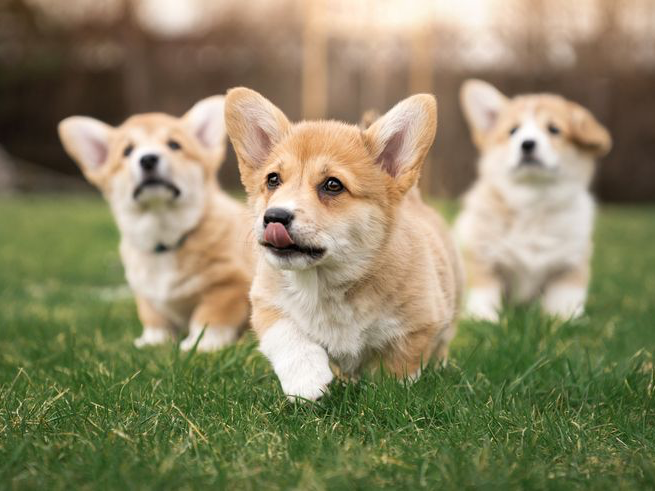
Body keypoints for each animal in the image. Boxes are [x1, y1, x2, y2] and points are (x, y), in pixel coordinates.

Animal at [57, 97, 252, 350]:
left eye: (174, 145)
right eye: (127, 151)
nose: (148, 159)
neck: (164, 235)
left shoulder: (227, 286)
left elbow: (209, 317)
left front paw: (200, 345)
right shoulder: (147, 296)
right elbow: (154, 319)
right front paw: (153, 342)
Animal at [226, 88, 462, 402]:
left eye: (333, 185)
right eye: (273, 179)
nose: (274, 217)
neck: (328, 283)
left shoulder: (419, 325)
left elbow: (397, 369)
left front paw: (386, 394)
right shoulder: (266, 300)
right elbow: (286, 335)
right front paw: (306, 380)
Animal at [454, 80, 612, 322]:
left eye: (554, 129)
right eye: (513, 131)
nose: (527, 144)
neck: (533, 202)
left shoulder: (570, 264)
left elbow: (565, 299)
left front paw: (566, 319)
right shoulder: (482, 255)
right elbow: (484, 291)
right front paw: (483, 318)